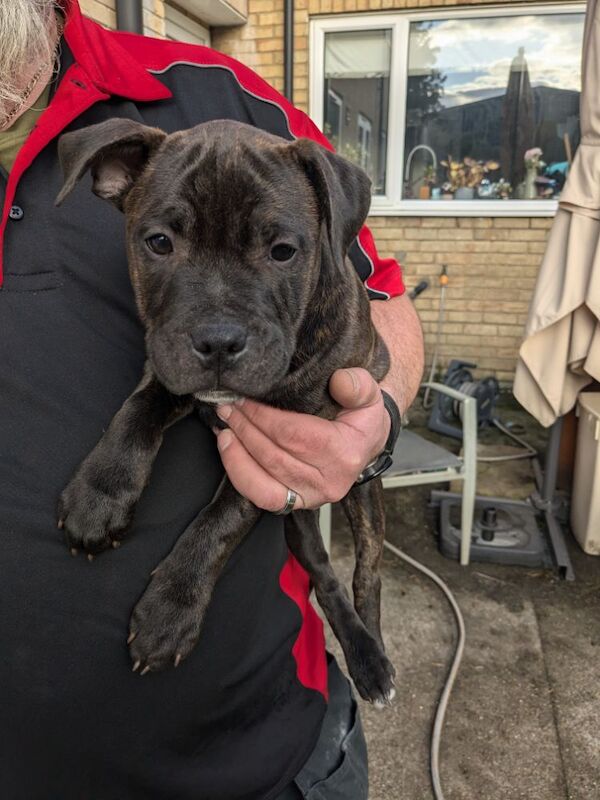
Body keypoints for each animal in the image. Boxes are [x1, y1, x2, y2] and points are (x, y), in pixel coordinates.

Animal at [55, 119, 394, 708]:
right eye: (159, 243)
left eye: (283, 252)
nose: (217, 341)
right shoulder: (168, 370)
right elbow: (135, 412)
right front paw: (99, 495)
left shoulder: (273, 461)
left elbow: (219, 523)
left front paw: (169, 611)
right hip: (299, 521)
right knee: (323, 575)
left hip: (362, 495)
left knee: (366, 575)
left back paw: (370, 657)